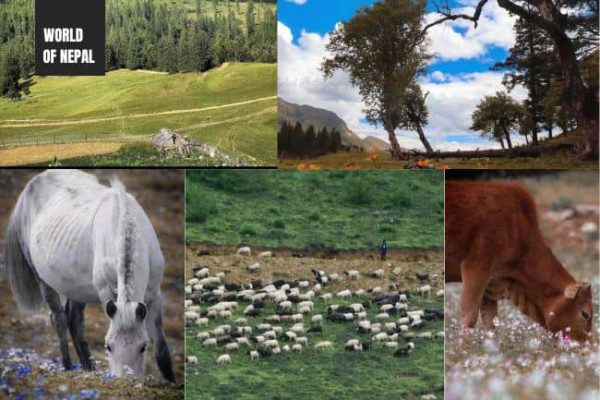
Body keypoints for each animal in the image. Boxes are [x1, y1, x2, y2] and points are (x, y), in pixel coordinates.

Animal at [4, 170, 175, 382]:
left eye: (143, 347)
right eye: (108, 346)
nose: (124, 382)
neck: (122, 224)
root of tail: (30, 186)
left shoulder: (154, 294)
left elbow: (161, 350)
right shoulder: (106, 292)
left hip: (77, 290)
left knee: (73, 320)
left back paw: (89, 368)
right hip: (43, 280)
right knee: (59, 319)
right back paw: (69, 368)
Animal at [446, 181, 592, 340]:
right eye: (585, 314)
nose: (588, 344)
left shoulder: (490, 286)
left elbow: (491, 323)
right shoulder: (476, 269)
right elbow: (469, 318)